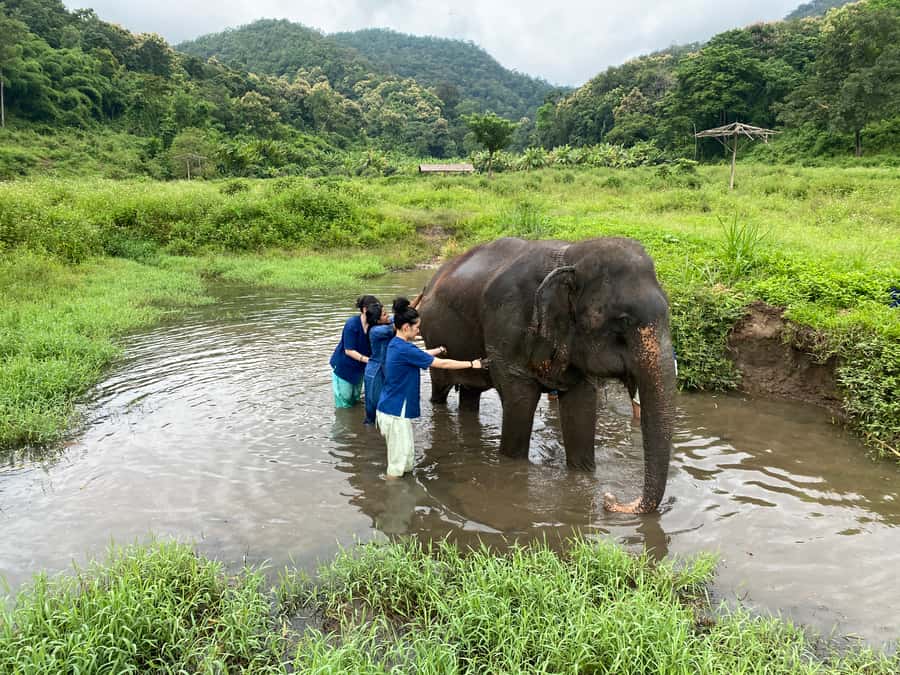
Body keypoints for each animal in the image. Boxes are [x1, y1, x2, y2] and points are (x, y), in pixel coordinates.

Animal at [416, 237, 677, 514]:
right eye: (624, 320)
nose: (609, 499)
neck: (569, 256)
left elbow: (581, 406)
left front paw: (583, 479)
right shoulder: (506, 328)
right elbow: (520, 402)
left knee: (470, 393)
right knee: (440, 390)